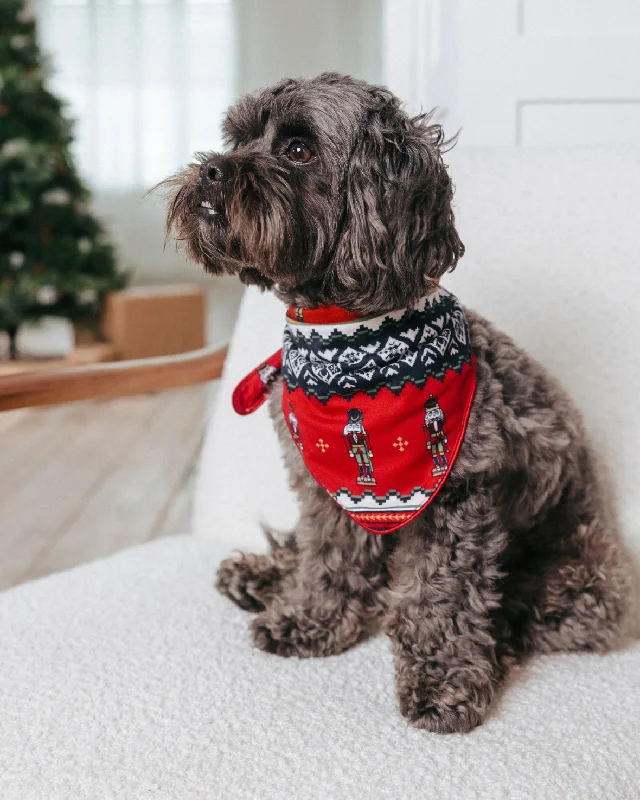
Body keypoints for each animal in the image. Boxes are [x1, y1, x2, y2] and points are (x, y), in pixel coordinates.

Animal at [162, 72, 632, 736]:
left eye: (298, 149)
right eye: (238, 138)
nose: (210, 171)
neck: (344, 331)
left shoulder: (457, 499)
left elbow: (441, 594)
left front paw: (443, 678)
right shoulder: (323, 487)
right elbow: (328, 555)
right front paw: (311, 619)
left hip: (583, 592)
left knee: (518, 609)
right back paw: (261, 575)